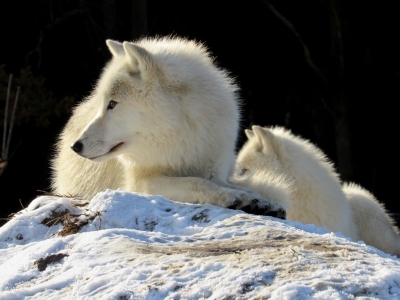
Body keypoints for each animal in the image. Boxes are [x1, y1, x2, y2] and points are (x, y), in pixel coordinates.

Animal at [50, 36, 284, 218]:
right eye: (104, 104)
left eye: (113, 104)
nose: (76, 146)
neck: (180, 133)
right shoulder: (140, 184)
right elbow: (197, 183)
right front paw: (234, 198)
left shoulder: (213, 172)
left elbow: (234, 185)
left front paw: (260, 201)